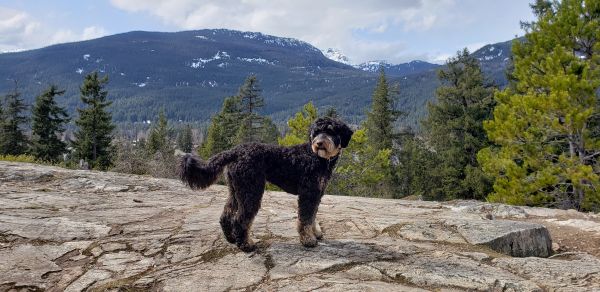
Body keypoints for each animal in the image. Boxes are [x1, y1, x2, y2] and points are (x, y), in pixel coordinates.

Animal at [178, 117, 352, 252]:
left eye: (331, 131)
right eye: (316, 132)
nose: (319, 143)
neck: (317, 157)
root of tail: (235, 151)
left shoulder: (317, 194)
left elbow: (312, 216)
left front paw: (315, 233)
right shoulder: (308, 194)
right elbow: (305, 218)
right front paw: (308, 240)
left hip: (236, 190)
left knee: (226, 216)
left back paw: (231, 239)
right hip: (251, 191)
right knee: (240, 220)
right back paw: (246, 245)